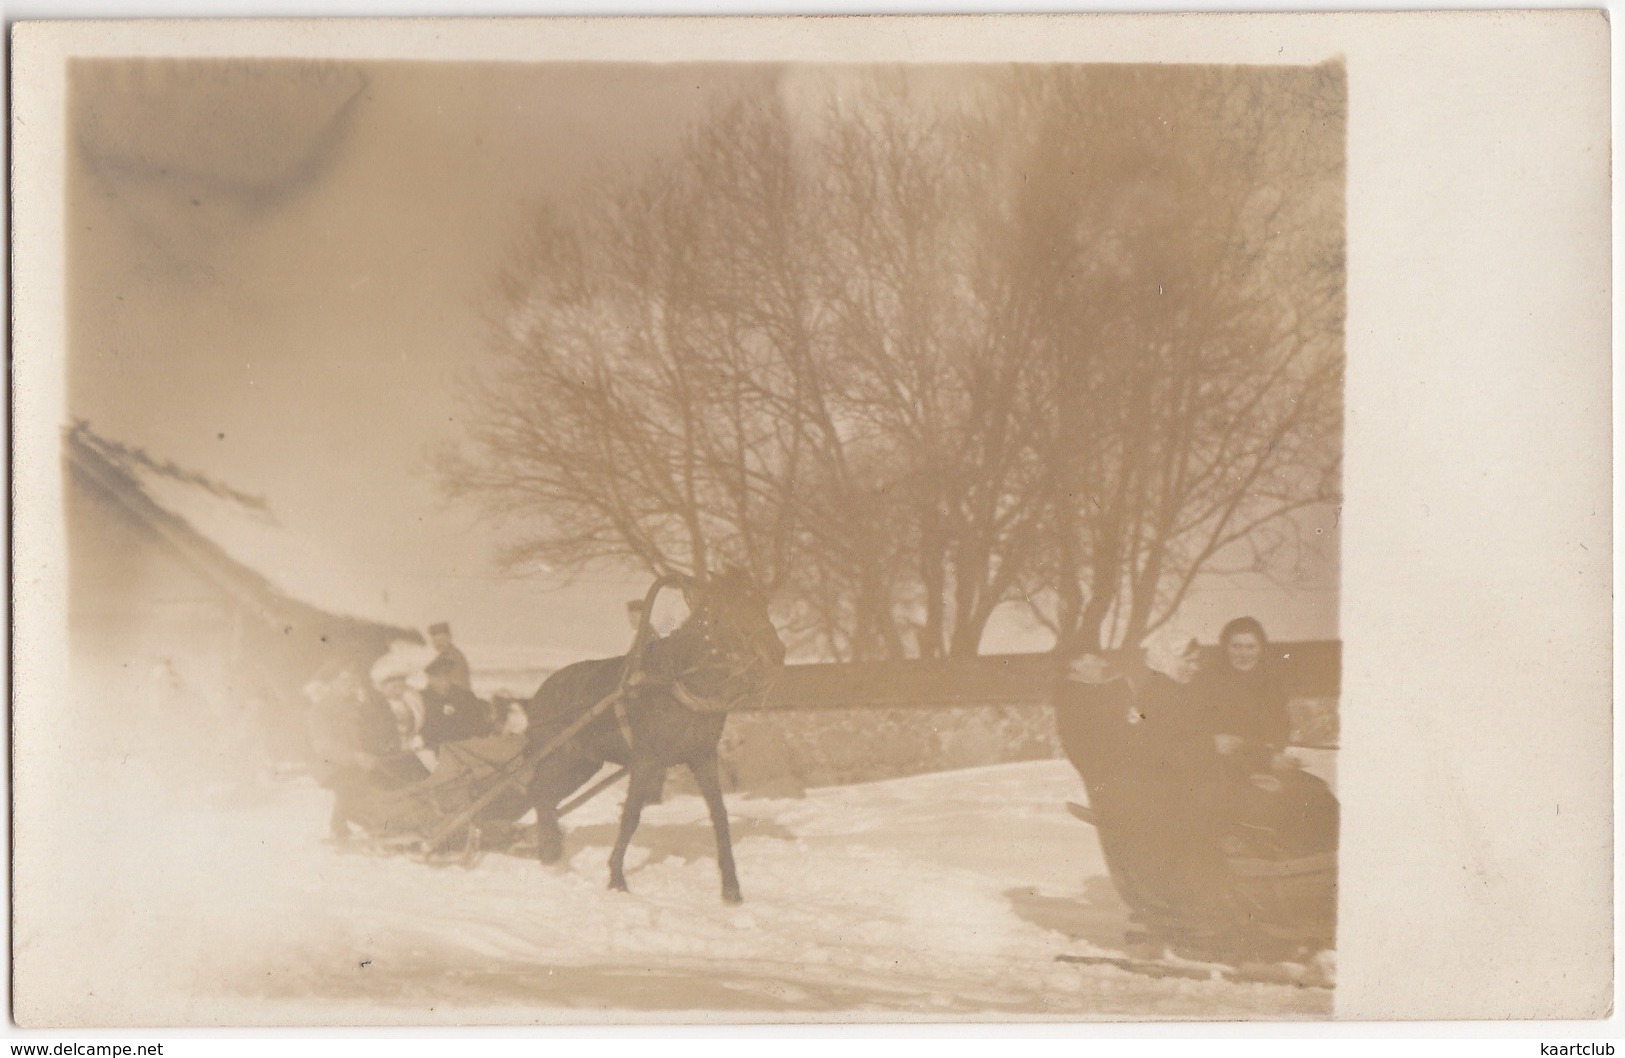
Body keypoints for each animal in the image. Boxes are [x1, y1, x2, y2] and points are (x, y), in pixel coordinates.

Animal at [523, 572, 783, 903]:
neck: (674, 681)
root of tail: (538, 696)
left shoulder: (703, 756)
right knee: (539, 794)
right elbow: (631, 816)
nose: (776, 652)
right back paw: (551, 851)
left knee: (546, 798)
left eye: (763, 603)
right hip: (558, 757)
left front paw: (731, 887)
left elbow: (719, 815)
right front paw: (617, 879)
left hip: (581, 765)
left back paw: (550, 849)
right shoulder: (645, 759)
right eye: (728, 611)